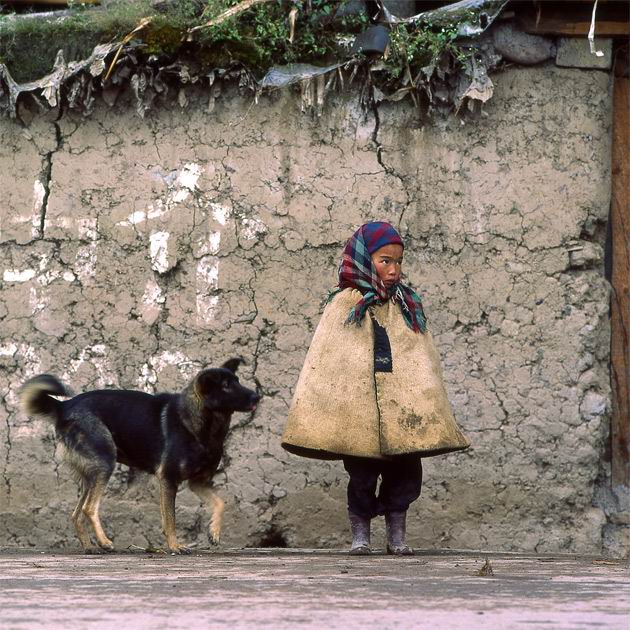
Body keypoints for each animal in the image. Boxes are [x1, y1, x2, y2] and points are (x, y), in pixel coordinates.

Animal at [19, 358, 260, 554]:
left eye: (237, 381)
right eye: (226, 386)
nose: (257, 396)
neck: (202, 425)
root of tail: (64, 406)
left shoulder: (197, 483)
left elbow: (220, 502)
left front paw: (214, 532)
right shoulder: (168, 479)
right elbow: (170, 519)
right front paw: (175, 546)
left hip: (90, 474)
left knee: (76, 513)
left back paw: (89, 547)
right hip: (105, 463)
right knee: (89, 508)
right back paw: (104, 542)